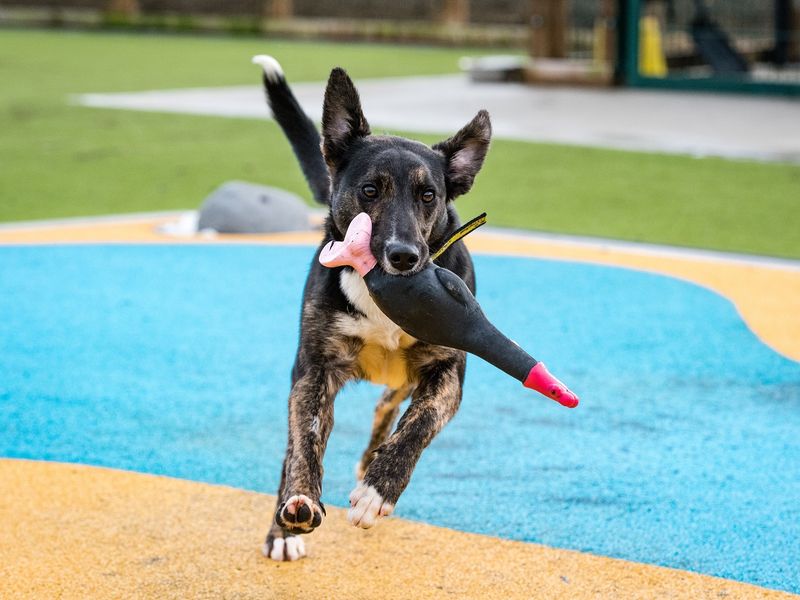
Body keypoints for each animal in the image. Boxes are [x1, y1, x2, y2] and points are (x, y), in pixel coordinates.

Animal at [253, 56, 490, 564]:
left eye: (428, 195)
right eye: (368, 190)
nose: (403, 256)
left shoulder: (447, 370)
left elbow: (419, 424)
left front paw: (378, 489)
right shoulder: (314, 369)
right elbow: (305, 438)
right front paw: (298, 501)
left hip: (406, 376)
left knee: (389, 405)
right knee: (294, 444)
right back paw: (283, 525)